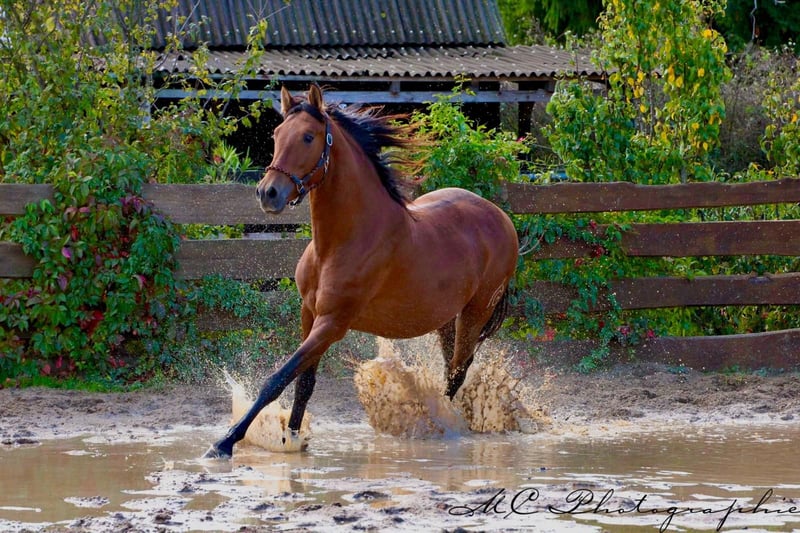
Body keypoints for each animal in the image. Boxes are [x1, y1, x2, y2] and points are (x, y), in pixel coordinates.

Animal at [205, 84, 519, 458]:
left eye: (308, 137)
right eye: (277, 134)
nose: (268, 193)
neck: (341, 242)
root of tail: (501, 218)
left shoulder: (333, 323)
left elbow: (278, 378)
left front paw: (224, 442)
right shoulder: (309, 313)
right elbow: (304, 382)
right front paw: (292, 437)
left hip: (476, 311)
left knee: (459, 369)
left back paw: (442, 423)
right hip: (446, 318)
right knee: (451, 368)